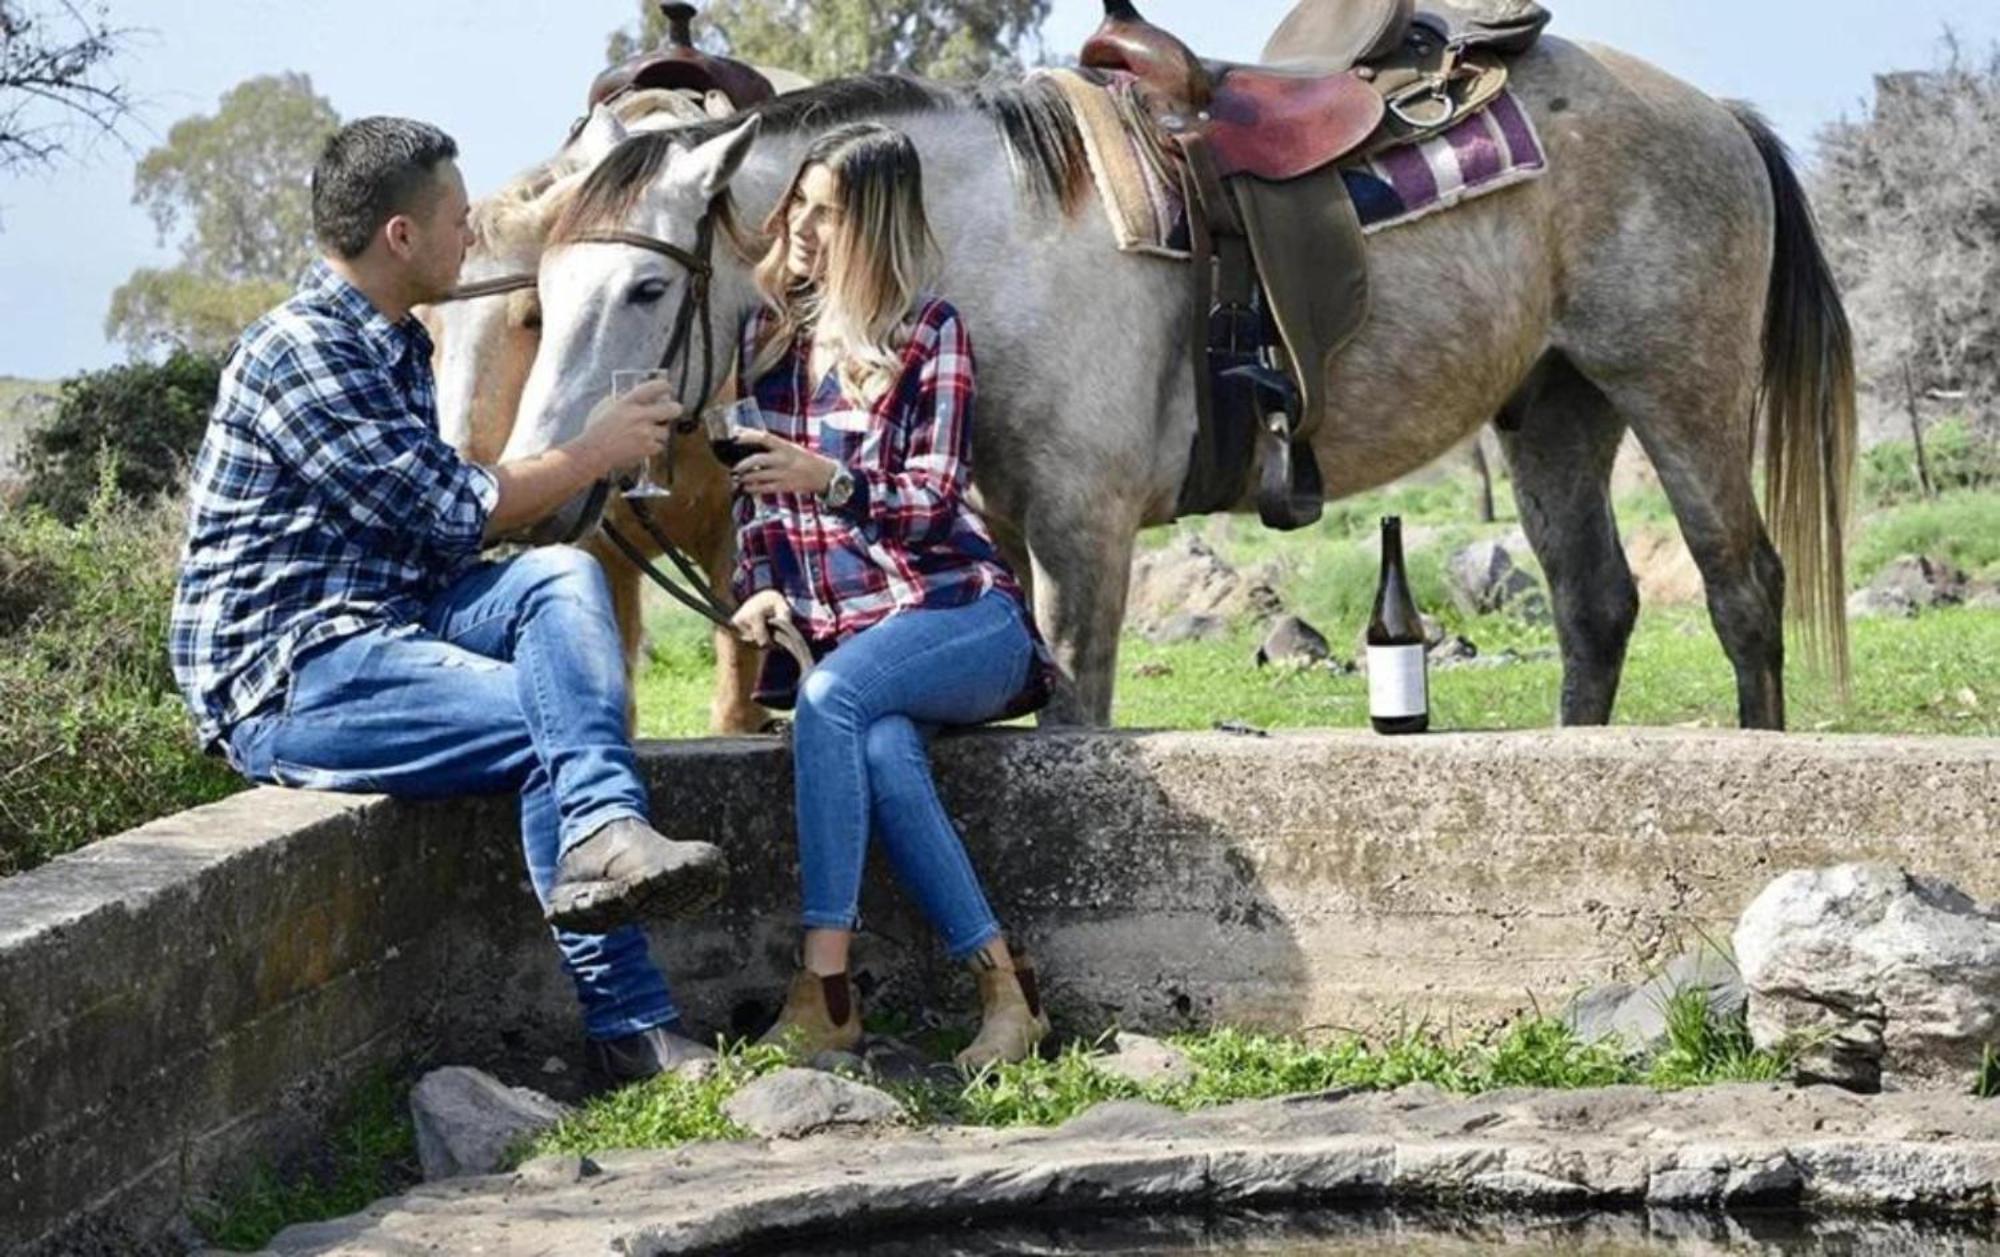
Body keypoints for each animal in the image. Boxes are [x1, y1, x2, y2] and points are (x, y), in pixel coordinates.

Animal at [508, 39, 1848, 732]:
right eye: (541, 293)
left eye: (645, 290)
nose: (546, 486)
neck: (996, 239)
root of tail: (1716, 113)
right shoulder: (999, 520)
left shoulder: (1083, 532)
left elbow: (1075, 713)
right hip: (1554, 408)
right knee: (1594, 607)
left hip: (1677, 390)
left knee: (1739, 587)